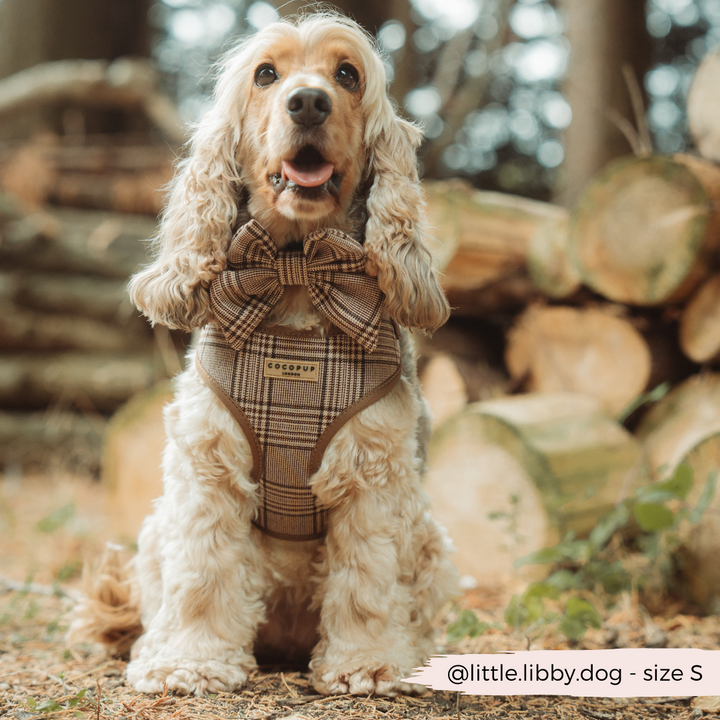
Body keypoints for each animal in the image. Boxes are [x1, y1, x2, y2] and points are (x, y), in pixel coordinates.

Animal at [70, 12, 458, 696]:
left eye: (347, 74)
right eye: (266, 74)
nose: (308, 101)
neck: (296, 272)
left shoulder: (376, 470)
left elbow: (368, 580)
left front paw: (368, 663)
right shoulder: (209, 467)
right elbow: (204, 575)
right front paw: (191, 662)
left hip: (433, 540)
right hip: (155, 530)